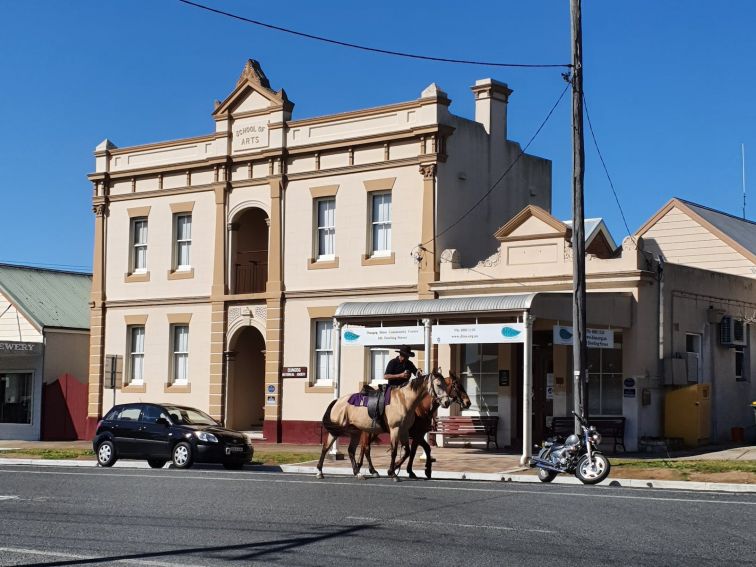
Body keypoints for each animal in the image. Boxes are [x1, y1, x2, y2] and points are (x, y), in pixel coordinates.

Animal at [314, 370, 448, 482]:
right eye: (439, 385)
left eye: (446, 385)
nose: (447, 402)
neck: (404, 401)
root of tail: (336, 401)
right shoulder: (396, 429)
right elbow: (394, 451)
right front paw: (393, 473)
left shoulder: (404, 431)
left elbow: (407, 451)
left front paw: (396, 469)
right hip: (337, 431)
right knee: (326, 448)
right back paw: (320, 472)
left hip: (356, 432)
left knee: (352, 450)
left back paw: (358, 473)